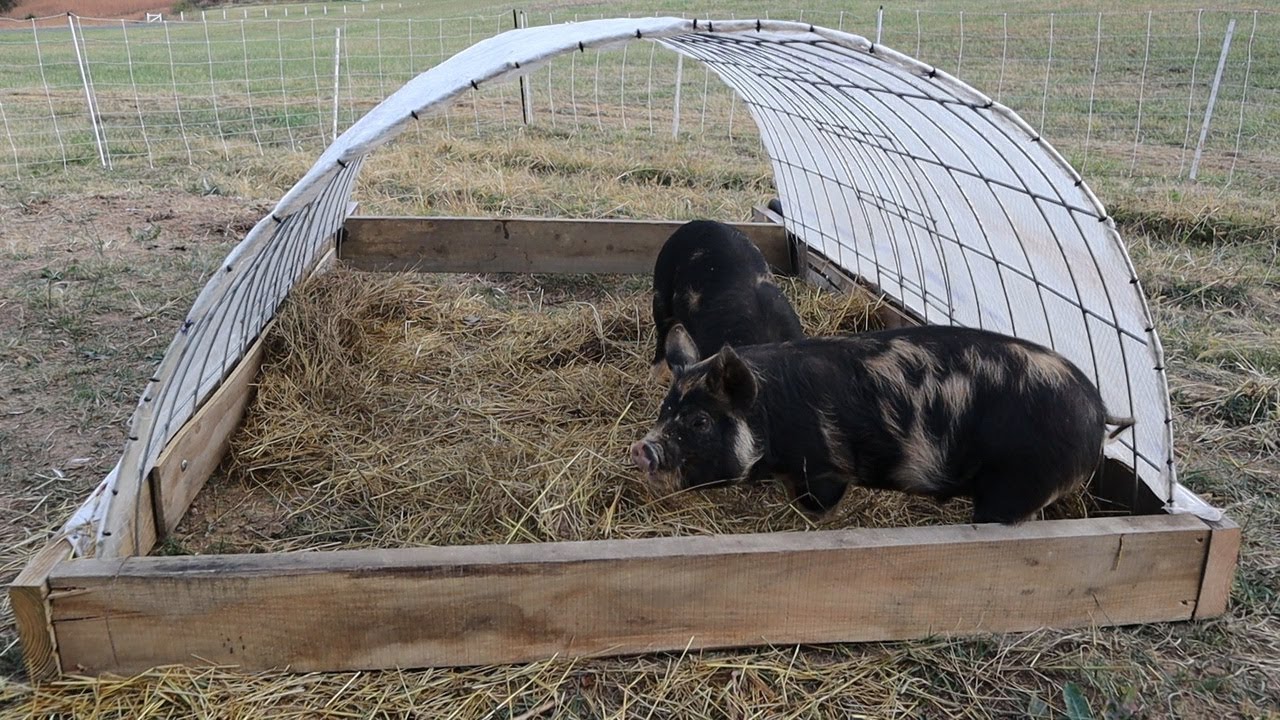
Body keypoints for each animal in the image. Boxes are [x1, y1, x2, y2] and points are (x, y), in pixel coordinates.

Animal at [629, 323, 1133, 524]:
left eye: (699, 420)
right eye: (664, 410)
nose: (642, 447)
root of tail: (1098, 408)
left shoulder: (826, 469)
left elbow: (819, 505)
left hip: (1018, 485)